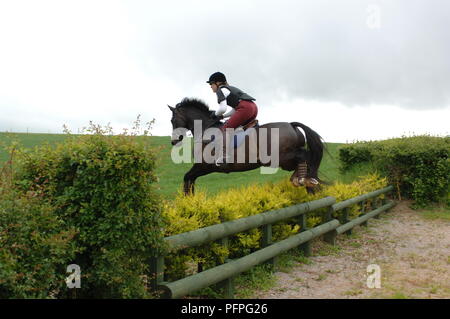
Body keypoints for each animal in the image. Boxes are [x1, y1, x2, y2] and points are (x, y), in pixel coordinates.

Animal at [167, 98, 326, 195]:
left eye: (172, 120)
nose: (174, 141)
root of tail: (292, 125)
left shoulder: (204, 166)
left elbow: (187, 177)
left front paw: (188, 201)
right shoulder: (202, 168)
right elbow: (190, 180)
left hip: (282, 158)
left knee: (304, 156)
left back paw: (303, 180)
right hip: (284, 161)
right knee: (305, 160)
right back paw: (306, 182)